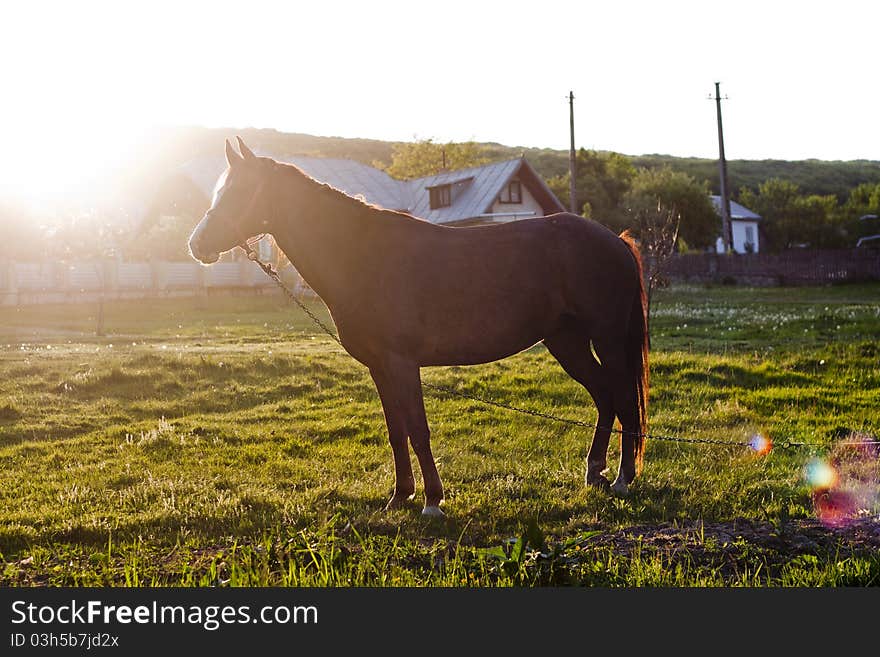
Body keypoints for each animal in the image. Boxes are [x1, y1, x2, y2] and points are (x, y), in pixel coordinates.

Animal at [189, 138, 648, 516]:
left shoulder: (402, 363)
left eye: (239, 191)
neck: (364, 255)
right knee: (605, 396)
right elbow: (397, 432)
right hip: (566, 342)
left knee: (624, 397)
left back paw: (623, 479)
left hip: (606, 339)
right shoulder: (380, 368)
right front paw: (399, 496)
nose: (196, 244)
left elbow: (418, 429)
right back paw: (594, 472)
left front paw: (432, 501)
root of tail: (614, 240)